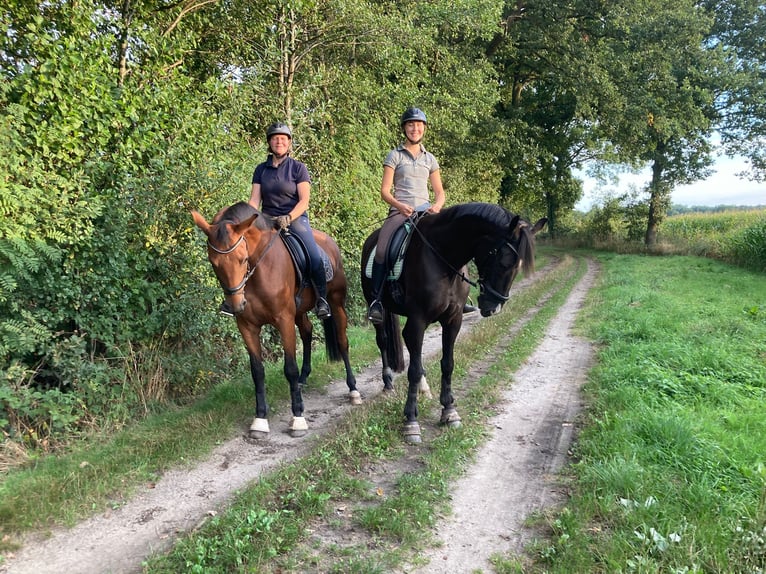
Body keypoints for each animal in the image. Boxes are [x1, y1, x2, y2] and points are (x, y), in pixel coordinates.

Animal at [192, 201, 361, 439]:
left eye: (242, 259)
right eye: (214, 263)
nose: (235, 305)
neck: (258, 271)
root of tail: (329, 241)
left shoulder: (283, 320)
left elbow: (289, 367)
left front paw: (298, 418)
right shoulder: (247, 326)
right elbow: (257, 371)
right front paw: (260, 419)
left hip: (336, 303)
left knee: (342, 341)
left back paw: (353, 390)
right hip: (299, 311)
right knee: (307, 331)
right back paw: (303, 379)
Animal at [360, 202, 547, 443]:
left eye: (518, 267)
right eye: (503, 261)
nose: (493, 308)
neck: (442, 258)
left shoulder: (453, 320)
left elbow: (447, 364)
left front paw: (449, 411)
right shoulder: (418, 320)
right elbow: (413, 370)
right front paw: (411, 421)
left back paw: (423, 388)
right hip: (378, 308)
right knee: (383, 340)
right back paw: (388, 383)